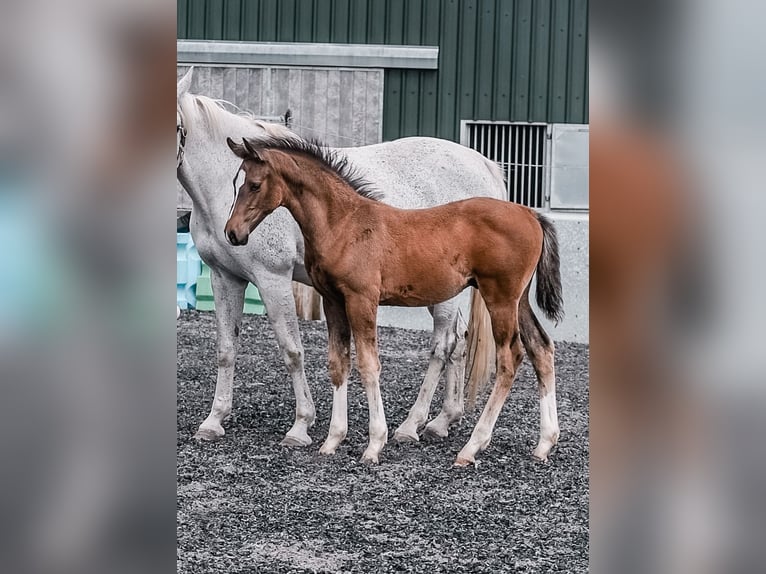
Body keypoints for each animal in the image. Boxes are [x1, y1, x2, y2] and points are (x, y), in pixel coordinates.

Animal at [176, 68, 498, 450]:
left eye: (253, 185)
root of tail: (483, 164)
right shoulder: (225, 277)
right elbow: (226, 348)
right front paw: (214, 420)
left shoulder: (273, 278)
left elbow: (292, 350)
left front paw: (301, 425)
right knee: (459, 342)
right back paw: (443, 420)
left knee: (442, 345)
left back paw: (410, 425)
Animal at [222, 138, 564, 468]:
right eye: (236, 182)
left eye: (254, 184)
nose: (232, 233)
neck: (343, 224)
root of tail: (531, 214)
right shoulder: (333, 300)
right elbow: (338, 364)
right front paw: (333, 440)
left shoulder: (362, 299)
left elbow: (368, 365)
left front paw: (374, 444)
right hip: (518, 301)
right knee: (541, 348)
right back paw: (544, 443)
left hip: (500, 298)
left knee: (510, 359)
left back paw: (471, 448)